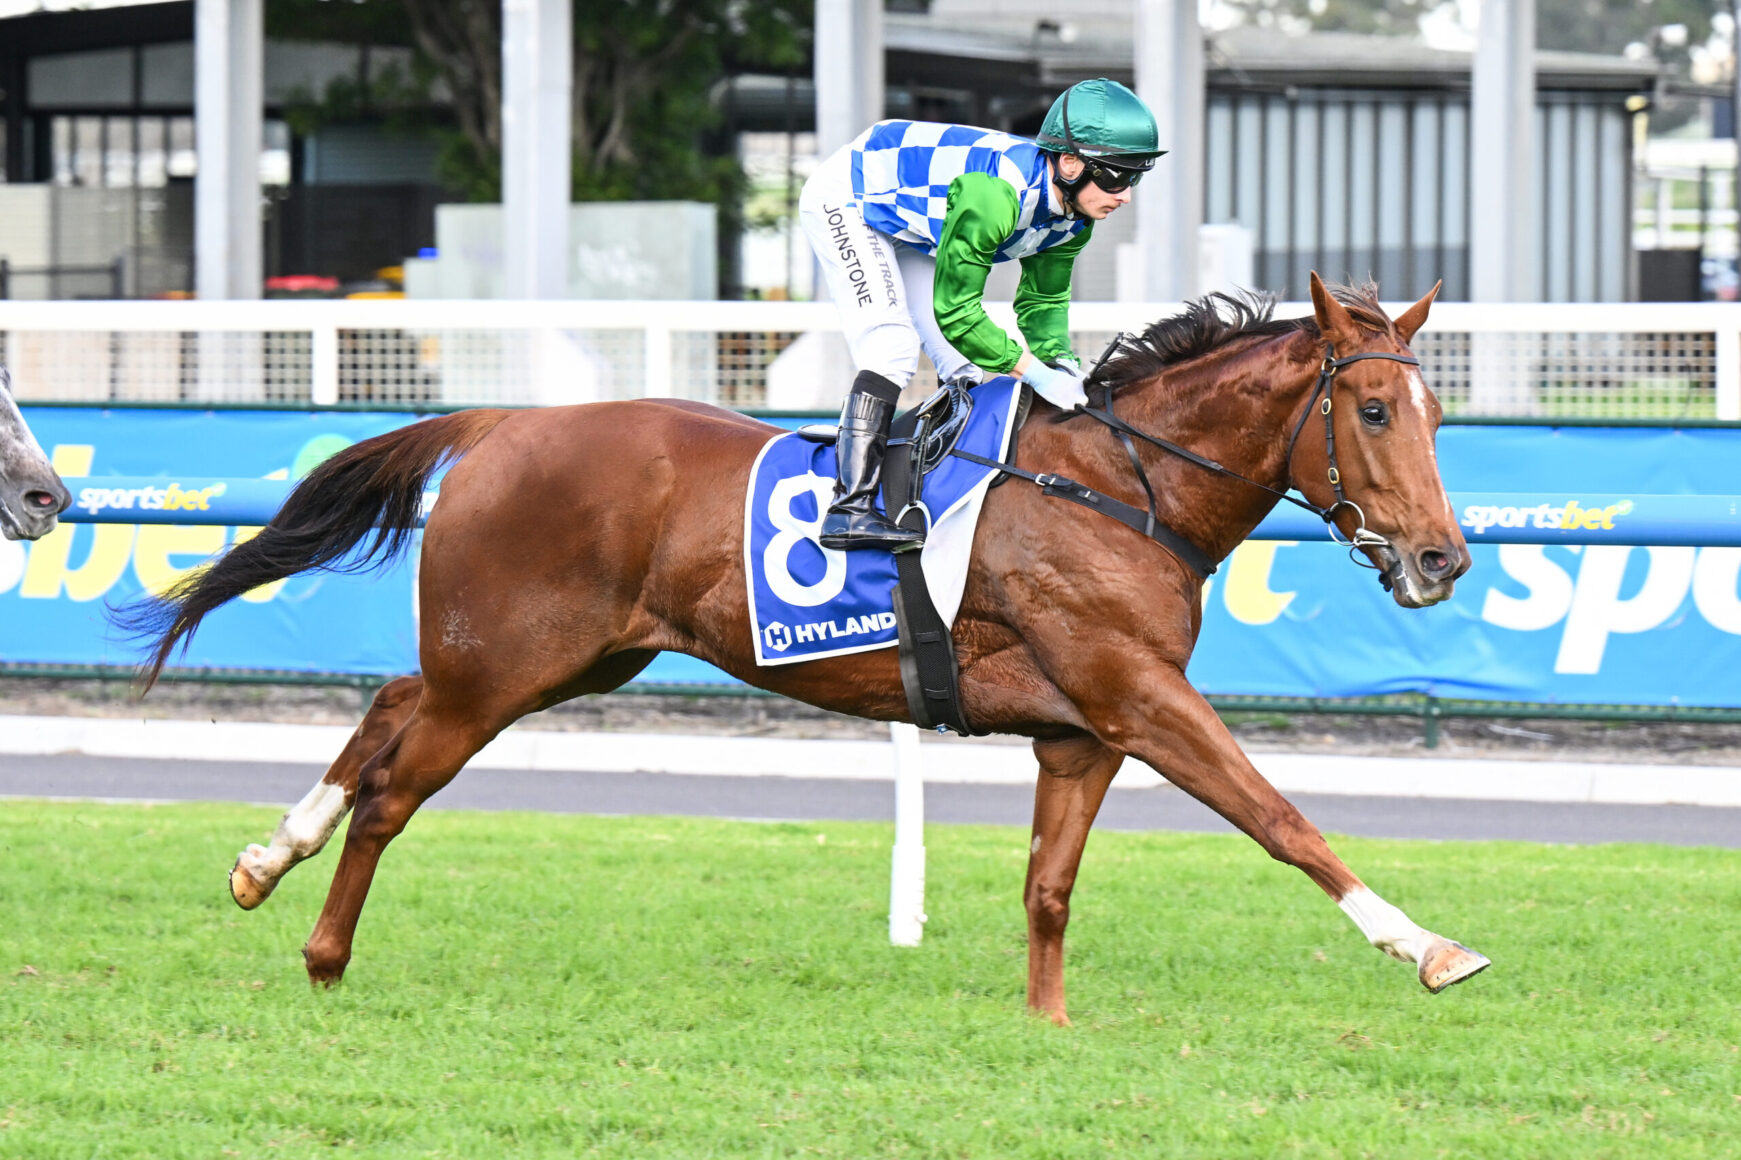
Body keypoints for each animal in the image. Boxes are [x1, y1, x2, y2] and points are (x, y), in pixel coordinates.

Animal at [125, 274, 1488, 1023]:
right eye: (1373, 408)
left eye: (1434, 413)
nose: (1442, 557)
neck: (1116, 485)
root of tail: (503, 420)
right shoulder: (1139, 693)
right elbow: (1281, 817)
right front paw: (1429, 946)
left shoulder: (1080, 730)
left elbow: (1048, 888)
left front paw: (1045, 1025)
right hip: (504, 668)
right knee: (393, 789)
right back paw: (322, 951)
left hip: (549, 658)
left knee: (387, 702)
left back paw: (264, 857)